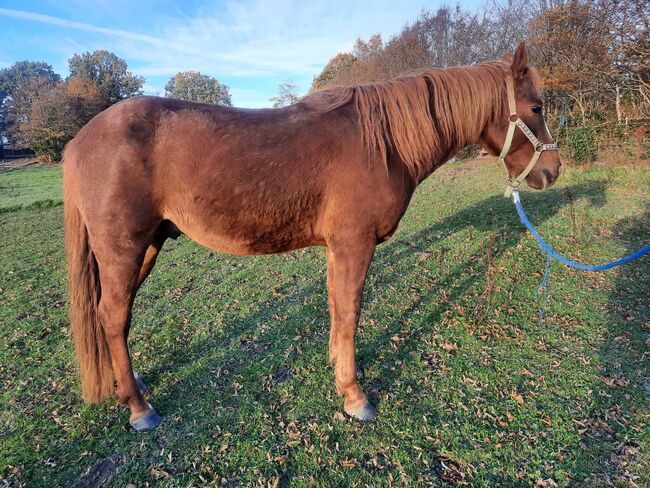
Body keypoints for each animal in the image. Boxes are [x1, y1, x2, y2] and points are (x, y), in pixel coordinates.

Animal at [63, 43, 560, 428]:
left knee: (115, 319)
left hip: (148, 247)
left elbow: (337, 309)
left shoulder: (337, 249)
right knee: (113, 317)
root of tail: (79, 140)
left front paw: (338, 369)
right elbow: (351, 312)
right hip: (123, 251)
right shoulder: (354, 245)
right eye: (536, 107)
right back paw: (139, 407)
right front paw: (355, 396)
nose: (553, 171)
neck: (381, 143)